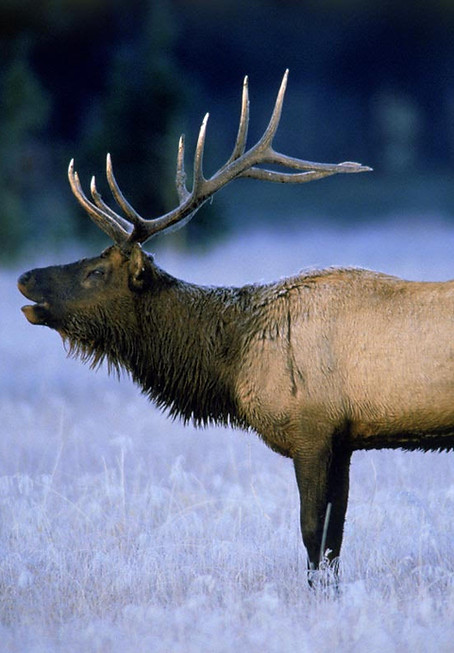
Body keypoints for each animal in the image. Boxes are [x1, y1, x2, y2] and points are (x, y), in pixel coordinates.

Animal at [19, 70, 453, 583]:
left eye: (96, 271)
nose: (25, 277)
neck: (234, 360)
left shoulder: (312, 428)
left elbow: (313, 537)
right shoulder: (345, 440)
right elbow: (335, 542)